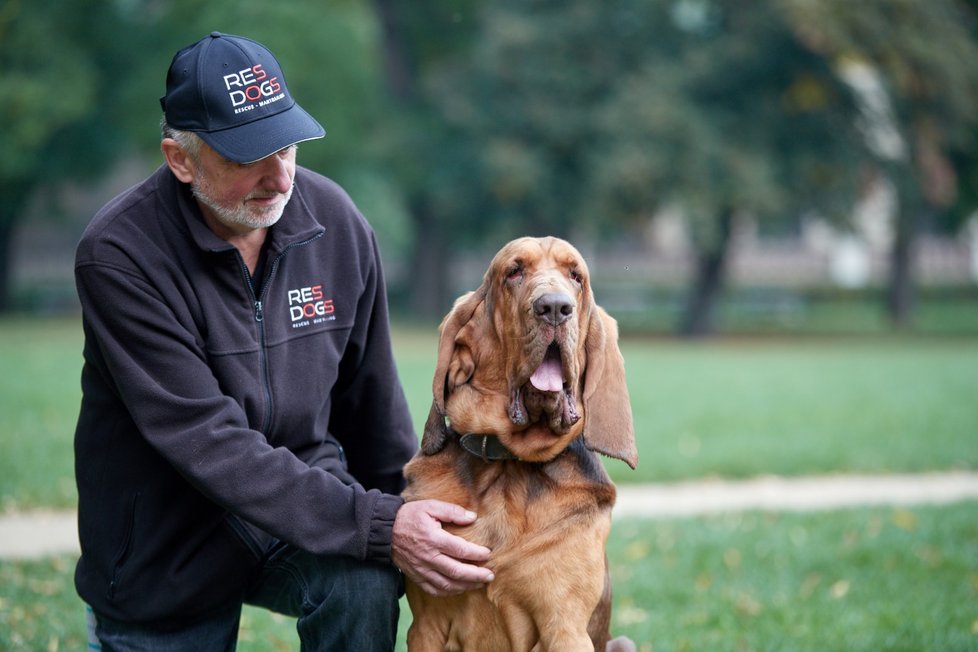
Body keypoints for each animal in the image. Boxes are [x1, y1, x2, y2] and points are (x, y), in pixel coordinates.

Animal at [400, 237, 636, 648]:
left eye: (576, 276)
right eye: (514, 272)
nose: (555, 308)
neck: (509, 462)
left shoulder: (565, 627)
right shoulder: (426, 626)